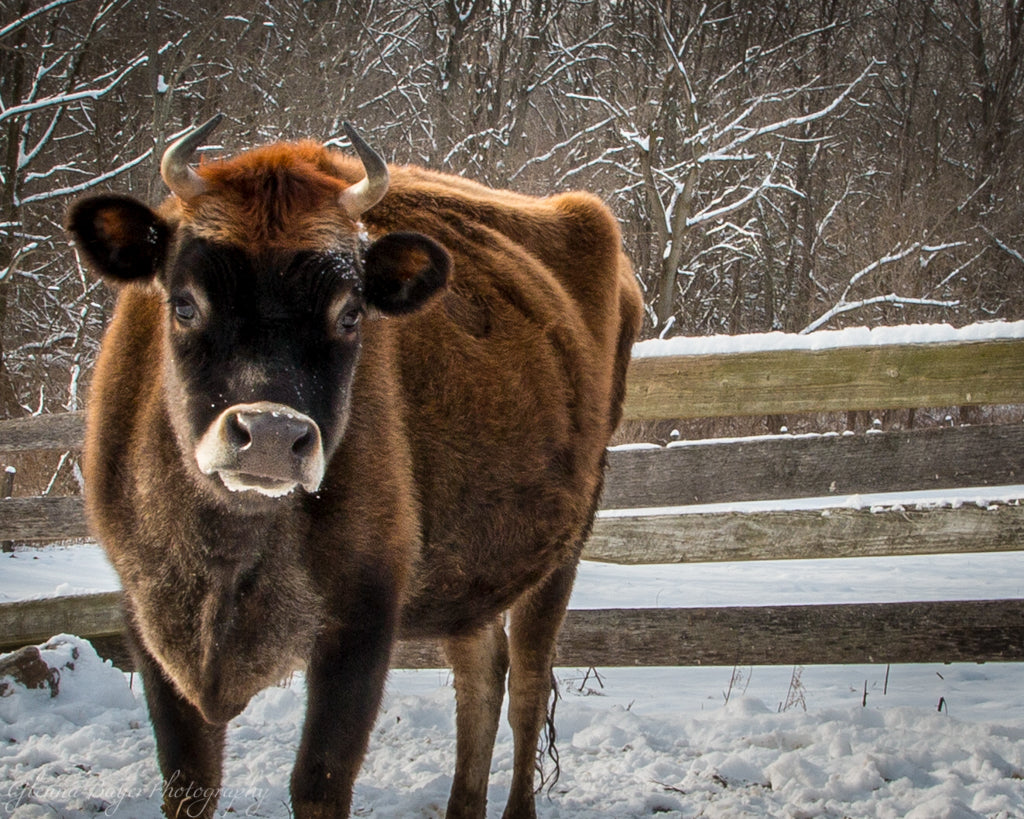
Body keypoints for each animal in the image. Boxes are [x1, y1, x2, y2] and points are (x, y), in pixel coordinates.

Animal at [66, 114, 642, 819]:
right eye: (183, 303)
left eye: (349, 312)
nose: (270, 436)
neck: (230, 550)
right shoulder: (150, 624)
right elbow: (189, 783)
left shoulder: (361, 624)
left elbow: (319, 780)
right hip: (471, 572)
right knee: (481, 676)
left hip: (561, 553)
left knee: (528, 685)